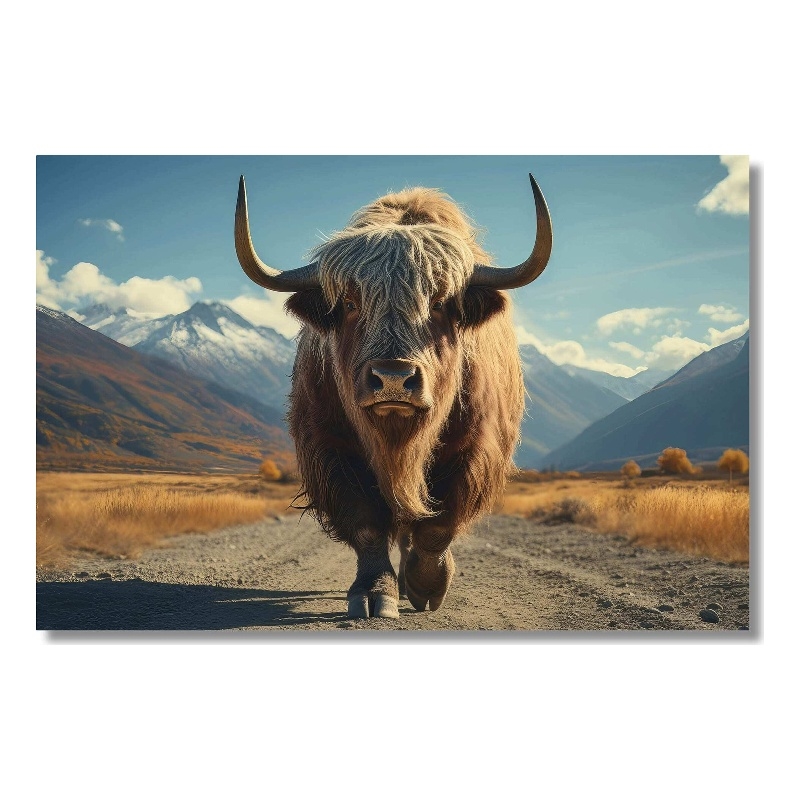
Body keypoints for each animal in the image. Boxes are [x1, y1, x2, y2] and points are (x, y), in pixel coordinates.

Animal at [234, 173, 552, 619]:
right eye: (350, 302)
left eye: (440, 302)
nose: (393, 378)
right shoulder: (331, 448)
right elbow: (367, 524)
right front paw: (374, 593)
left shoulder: (474, 449)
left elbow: (437, 524)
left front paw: (427, 585)